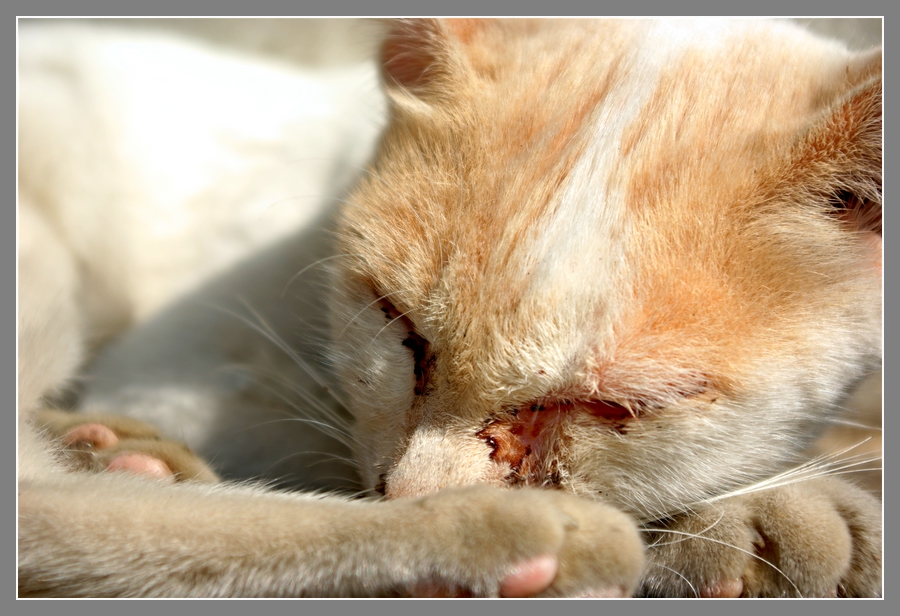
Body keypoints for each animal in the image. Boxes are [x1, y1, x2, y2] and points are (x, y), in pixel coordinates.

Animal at [17, 18, 884, 596]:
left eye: (614, 407)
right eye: (398, 324)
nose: (414, 490)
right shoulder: (186, 368)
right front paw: (788, 503)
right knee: (45, 503)